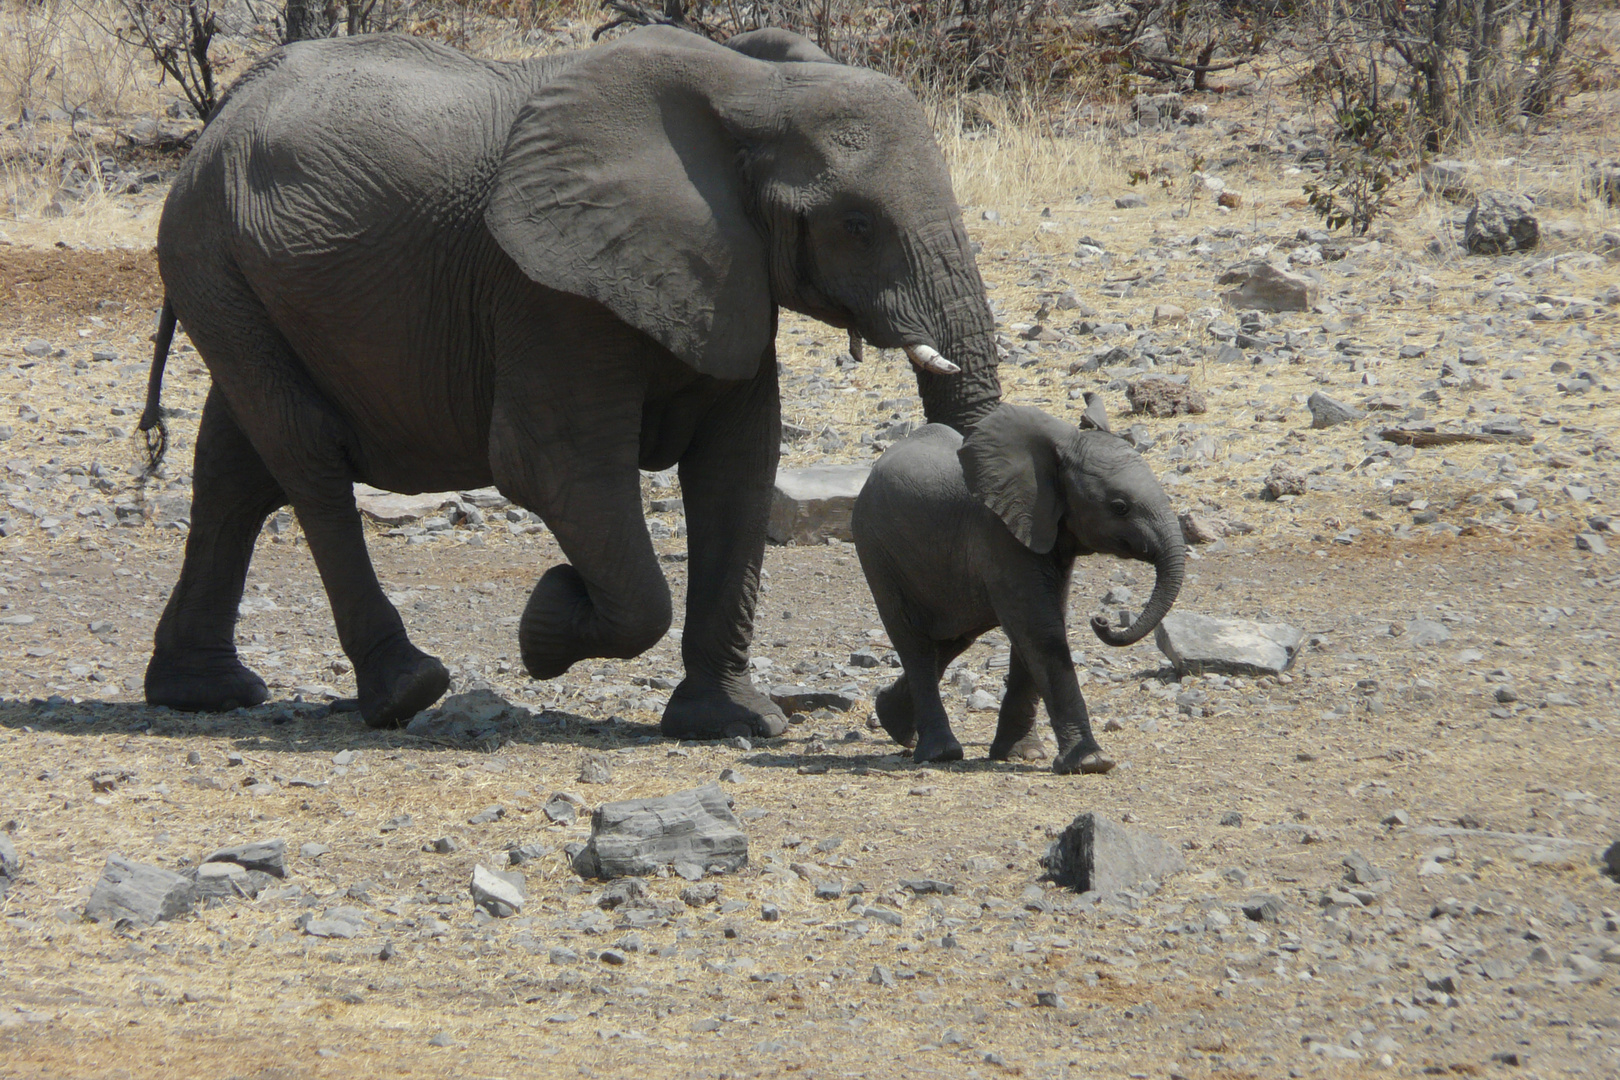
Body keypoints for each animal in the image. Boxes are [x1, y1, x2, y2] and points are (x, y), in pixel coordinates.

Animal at [142, 25, 997, 738]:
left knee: (235, 468)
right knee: (305, 455)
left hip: (242, 282)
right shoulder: (548, 294)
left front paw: (732, 722)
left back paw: (202, 693)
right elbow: (554, 471)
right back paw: (405, 690)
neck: (749, 87)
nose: (892, 715)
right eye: (856, 224)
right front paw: (546, 620)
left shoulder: (727, 272)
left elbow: (738, 468)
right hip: (212, 258)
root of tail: (221, 114)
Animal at [848, 401, 1192, 773]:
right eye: (1119, 507)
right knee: (915, 642)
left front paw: (1020, 754)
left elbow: (1034, 630)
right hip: (876, 550)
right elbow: (1040, 629)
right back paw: (940, 753)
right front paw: (1092, 762)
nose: (1102, 620)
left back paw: (891, 720)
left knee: (952, 639)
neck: (1062, 449)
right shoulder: (999, 534)